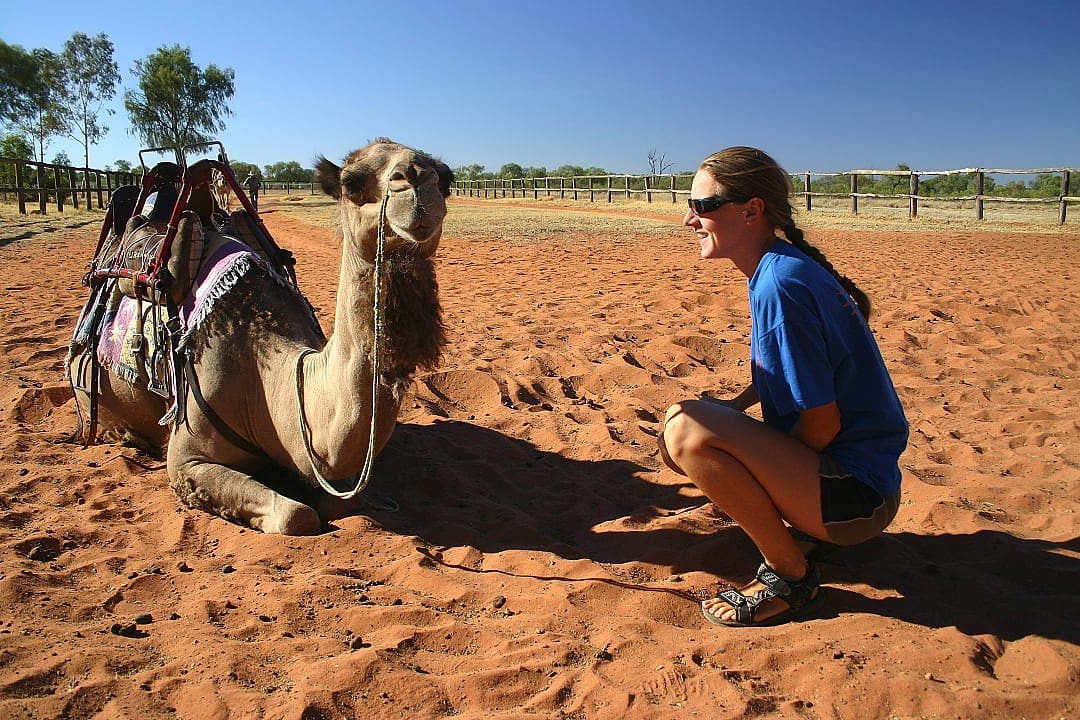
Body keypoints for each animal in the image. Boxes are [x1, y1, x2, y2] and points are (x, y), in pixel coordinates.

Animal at [68, 138, 452, 534]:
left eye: (446, 179)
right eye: (352, 183)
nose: (417, 179)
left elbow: (339, 501)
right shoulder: (186, 458)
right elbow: (296, 515)